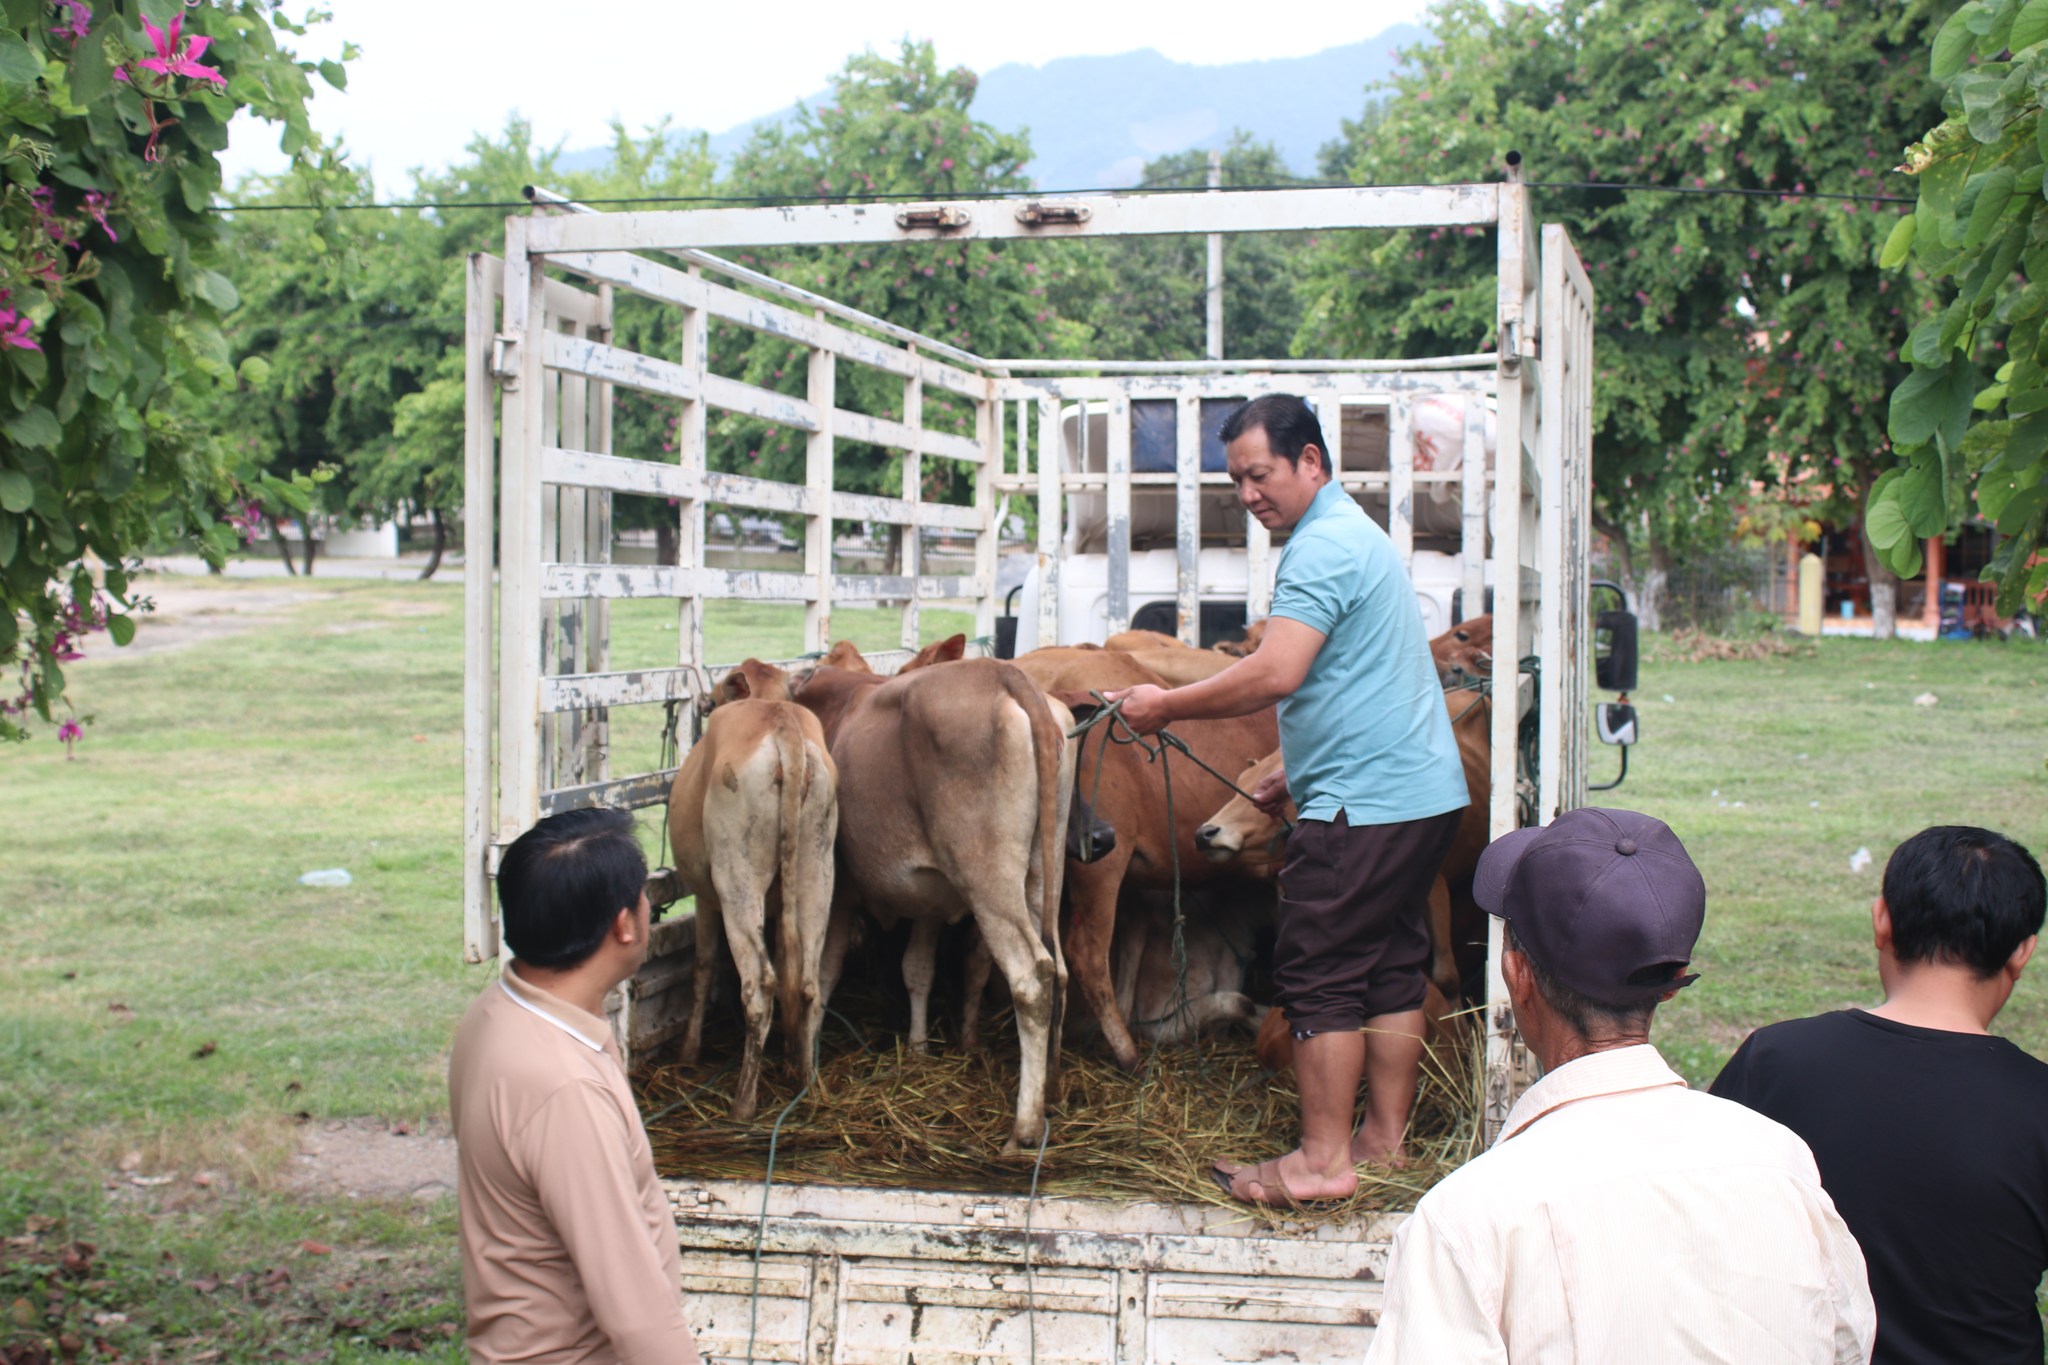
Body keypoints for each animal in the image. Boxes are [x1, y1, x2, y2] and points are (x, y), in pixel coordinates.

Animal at [667, 703, 835, 1121]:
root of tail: (782, 723)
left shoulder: (706, 900)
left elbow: (702, 967)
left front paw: (688, 1052)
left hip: (736, 879)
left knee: (760, 984)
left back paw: (743, 1103)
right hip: (818, 870)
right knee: (807, 982)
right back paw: (805, 1081)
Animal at [778, 650, 1073, 1154]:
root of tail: (1003, 673)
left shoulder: (840, 891)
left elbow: (822, 974)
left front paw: (808, 1074)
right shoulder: (929, 899)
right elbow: (917, 969)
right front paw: (916, 1050)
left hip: (988, 876)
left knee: (1034, 976)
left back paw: (1025, 1128)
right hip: (1040, 871)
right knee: (1062, 969)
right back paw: (1051, 1092)